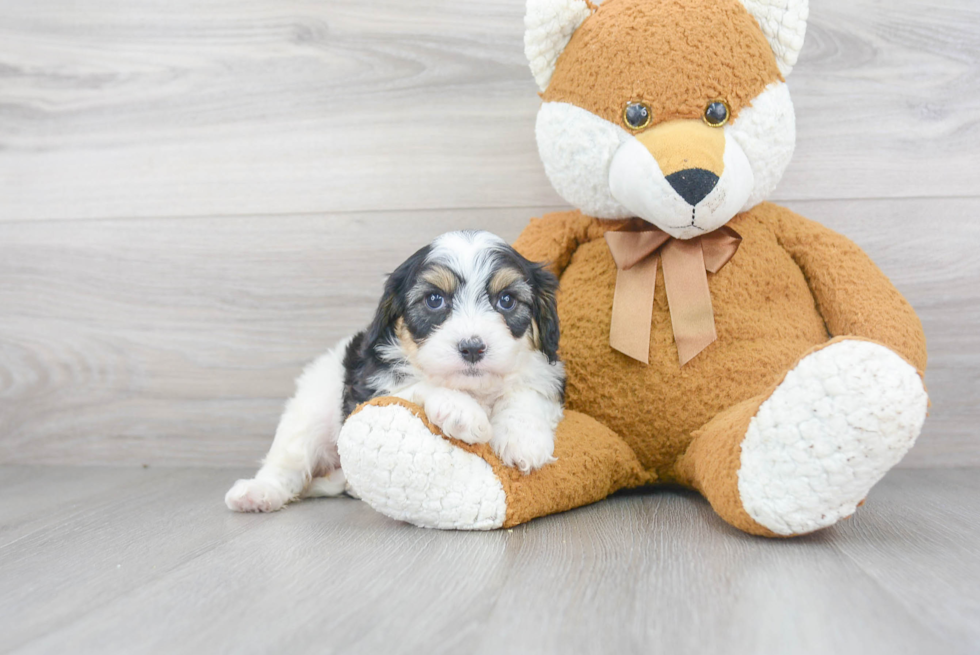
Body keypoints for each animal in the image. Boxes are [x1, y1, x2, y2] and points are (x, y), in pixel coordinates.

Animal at [227, 231, 568, 512]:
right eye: (434, 300)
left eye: (507, 300)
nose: (472, 348)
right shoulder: (371, 389)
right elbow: (417, 387)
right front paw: (462, 411)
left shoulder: (545, 373)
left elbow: (526, 392)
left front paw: (523, 439)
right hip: (309, 413)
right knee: (287, 461)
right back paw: (257, 493)